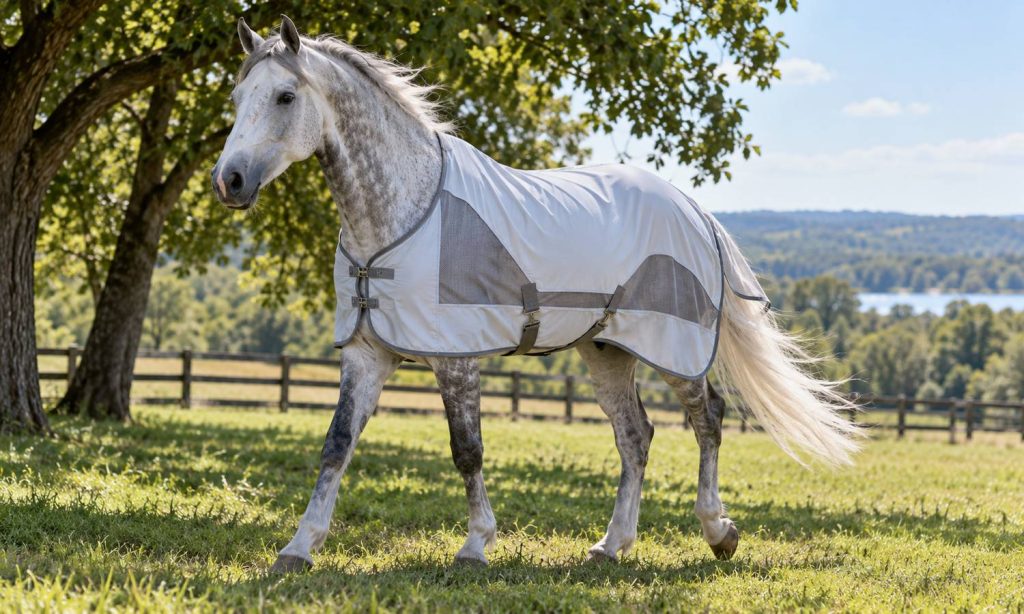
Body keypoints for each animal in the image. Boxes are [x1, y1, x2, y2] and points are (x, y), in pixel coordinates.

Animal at [212, 16, 861, 574]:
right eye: (238, 99)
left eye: (285, 97)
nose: (229, 181)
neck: (402, 212)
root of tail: (692, 209)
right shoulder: (366, 354)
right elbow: (336, 446)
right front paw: (299, 548)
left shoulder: (455, 359)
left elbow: (466, 450)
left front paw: (475, 546)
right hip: (606, 351)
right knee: (636, 437)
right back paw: (610, 546)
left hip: (677, 349)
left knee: (709, 421)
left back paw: (718, 531)